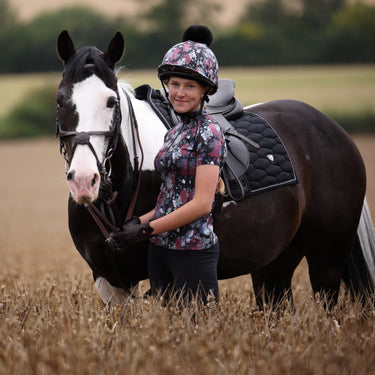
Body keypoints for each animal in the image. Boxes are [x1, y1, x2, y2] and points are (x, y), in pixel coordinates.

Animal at [55, 30, 375, 310]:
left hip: (327, 260)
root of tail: (331, 127)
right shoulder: (111, 282)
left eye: (111, 101)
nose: (84, 180)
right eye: (60, 99)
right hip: (274, 265)